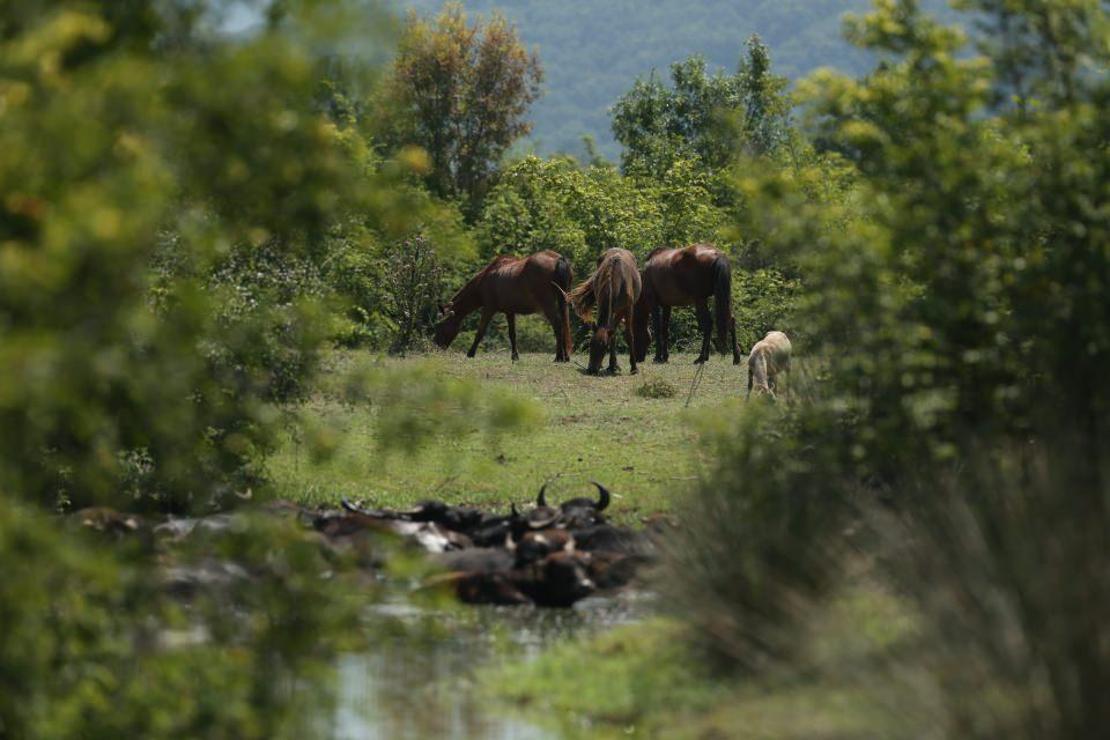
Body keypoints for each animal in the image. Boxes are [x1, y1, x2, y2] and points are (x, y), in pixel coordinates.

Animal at [432, 250, 572, 363]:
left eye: (440, 326)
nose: (435, 347)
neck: (485, 279)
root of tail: (558, 259)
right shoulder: (510, 311)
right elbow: (512, 334)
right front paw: (515, 356)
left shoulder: (488, 309)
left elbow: (480, 331)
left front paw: (470, 353)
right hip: (563, 300)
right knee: (564, 324)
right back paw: (565, 357)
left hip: (547, 305)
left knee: (558, 325)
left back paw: (559, 357)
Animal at [572, 248, 643, 377]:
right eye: (590, 344)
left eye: (605, 347)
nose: (592, 370)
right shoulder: (602, 304)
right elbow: (612, 332)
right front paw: (612, 365)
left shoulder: (628, 308)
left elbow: (628, 335)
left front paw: (634, 368)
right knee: (613, 331)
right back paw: (612, 365)